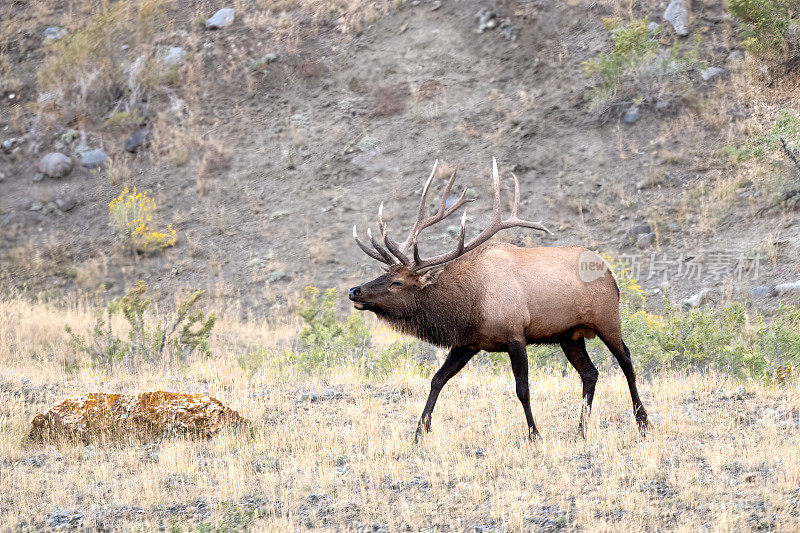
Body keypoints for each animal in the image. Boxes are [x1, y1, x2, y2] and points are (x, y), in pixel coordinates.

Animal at [350, 158, 648, 440]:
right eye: (384, 273)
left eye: (397, 282)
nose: (355, 291)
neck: (469, 304)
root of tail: (611, 273)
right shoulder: (467, 342)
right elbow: (437, 380)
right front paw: (419, 431)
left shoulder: (515, 334)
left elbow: (522, 389)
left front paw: (534, 434)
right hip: (570, 335)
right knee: (590, 373)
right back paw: (581, 430)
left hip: (607, 318)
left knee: (627, 361)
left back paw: (642, 421)